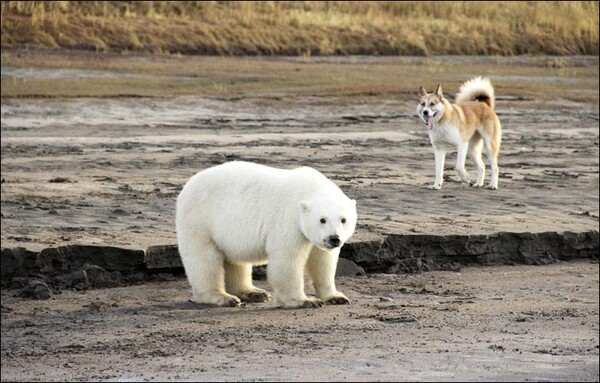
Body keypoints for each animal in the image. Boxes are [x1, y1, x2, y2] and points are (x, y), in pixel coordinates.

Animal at [176, 161, 358, 308]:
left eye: (343, 219)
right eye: (322, 220)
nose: (334, 239)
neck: (309, 189)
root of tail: (188, 185)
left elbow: (323, 261)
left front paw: (336, 297)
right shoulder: (288, 222)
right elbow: (287, 260)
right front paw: (305, 301)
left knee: (235, 260)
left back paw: (254, 292)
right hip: (199, 220)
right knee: (204, 259)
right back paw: (223, 297)